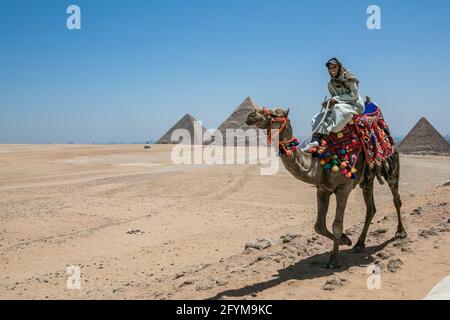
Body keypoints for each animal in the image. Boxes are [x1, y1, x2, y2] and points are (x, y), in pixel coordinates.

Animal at [246, 107, 408, 268]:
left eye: (275, 114)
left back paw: (401, 232)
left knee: (396, 199)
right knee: (371, 208)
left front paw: (334, 259)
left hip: (392, 167)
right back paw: (359, 244)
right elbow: (319, 226)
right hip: (367, 179)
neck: (320, 164)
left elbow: (337, 224)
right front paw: (345, 239)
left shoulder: (344, 188)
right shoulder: (323, 190)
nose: (250, 115)